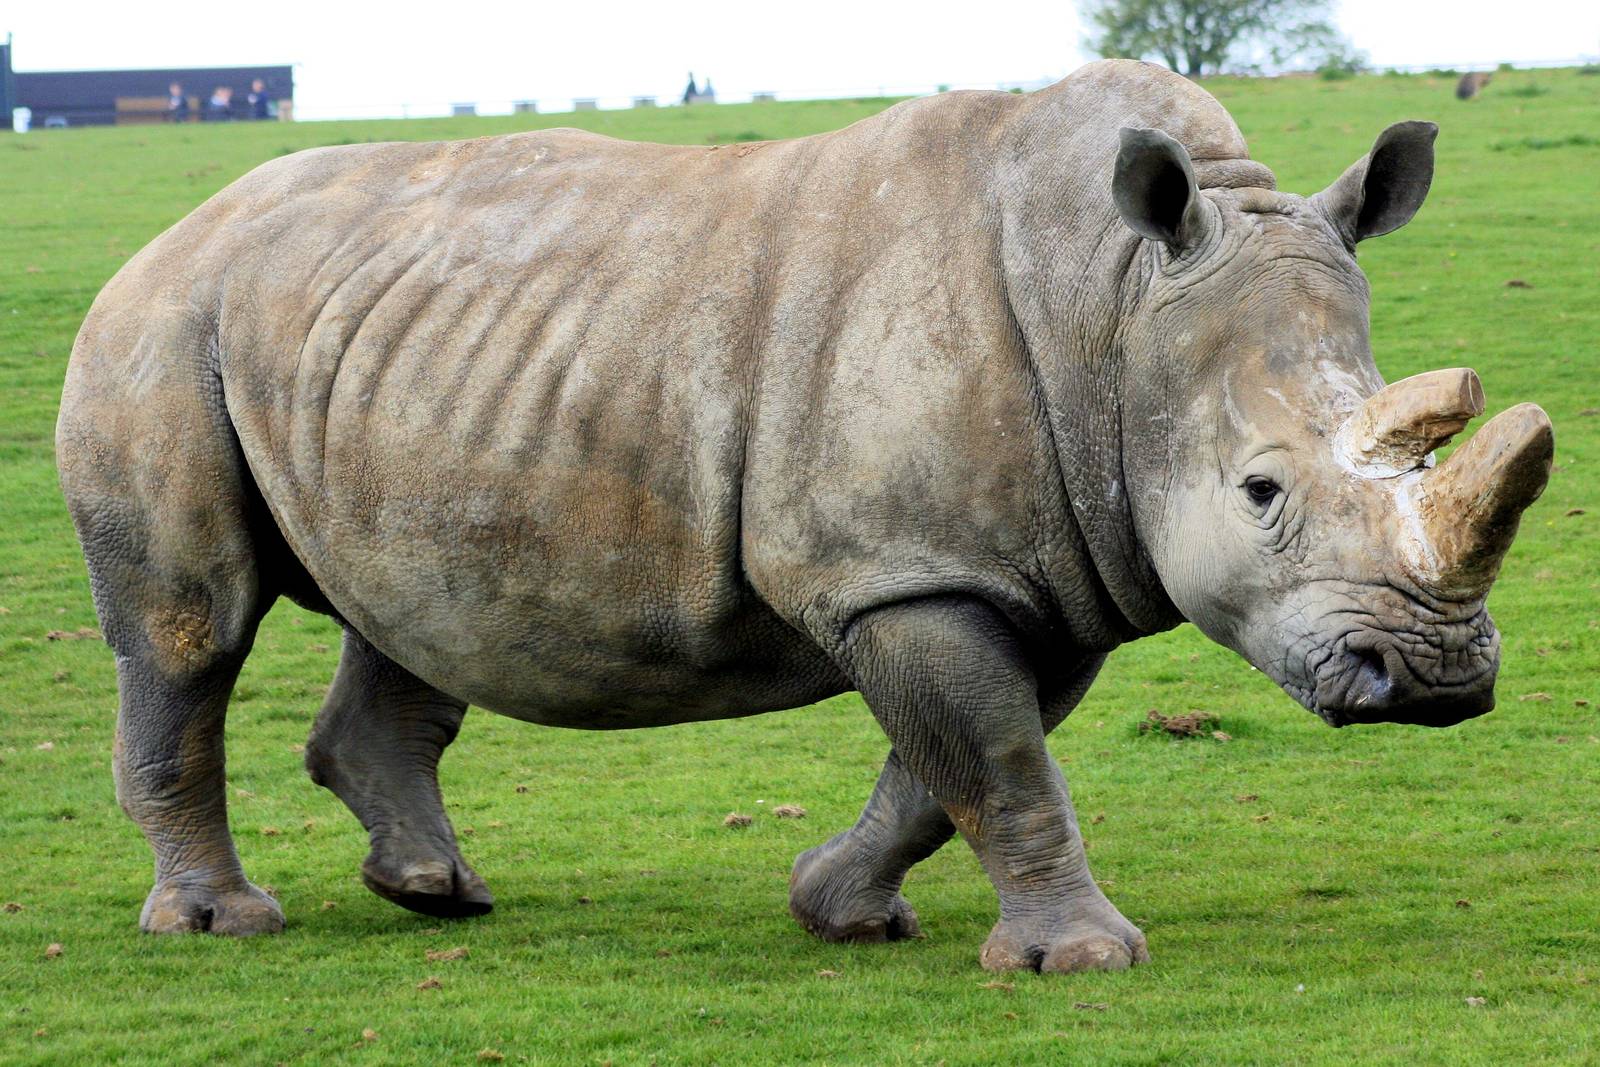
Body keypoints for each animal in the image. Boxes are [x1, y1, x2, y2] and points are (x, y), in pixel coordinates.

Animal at [57, 59, 1552, 973]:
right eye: (1262, 491)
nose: (1433, 678)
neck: (1119, 304)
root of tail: (167, 232)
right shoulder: (902, 566)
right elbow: (996, 754)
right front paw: (1081, 958)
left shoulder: (1033, 562)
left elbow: (954, 763)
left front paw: (841, 909)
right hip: (159, 331)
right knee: (190, 628)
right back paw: (223, 924)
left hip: (375, 349)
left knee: (414, 610)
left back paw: (436, 892)